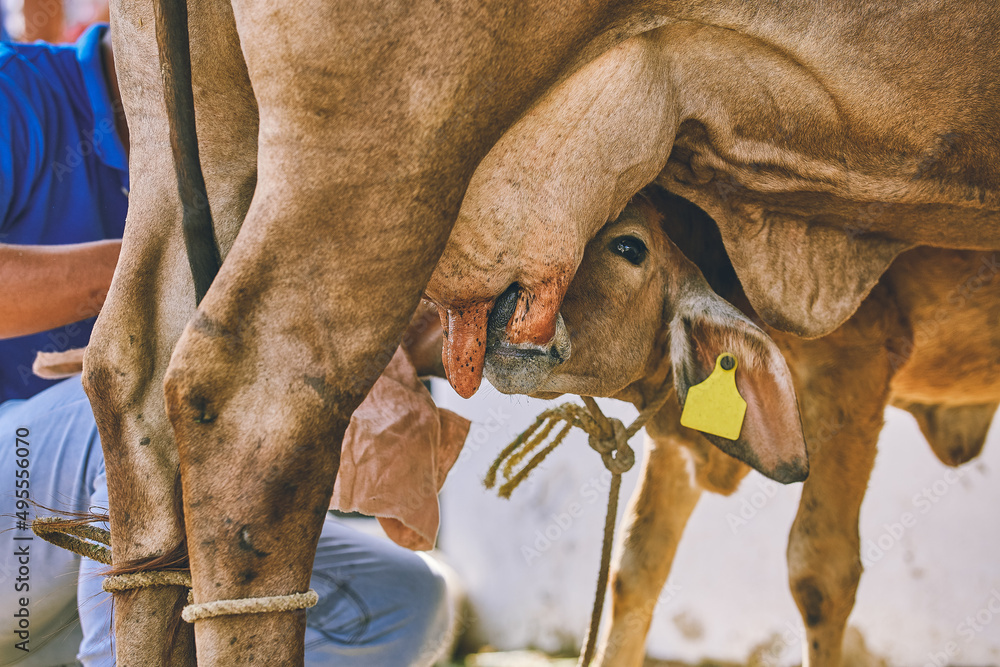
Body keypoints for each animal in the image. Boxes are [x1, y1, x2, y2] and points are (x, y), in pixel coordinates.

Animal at [482, 186, 999, 666]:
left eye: (629, 246)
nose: (504, 309)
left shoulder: (854, 384)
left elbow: (820, 577)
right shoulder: (675, 442)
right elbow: (634, 569)